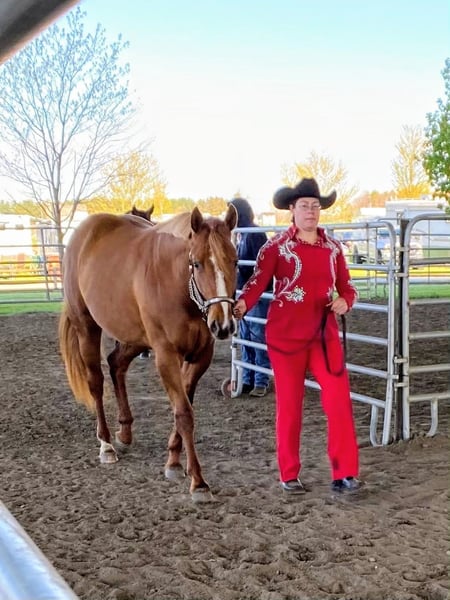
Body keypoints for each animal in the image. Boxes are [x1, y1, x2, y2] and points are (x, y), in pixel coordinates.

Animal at [58, 205, 238, 503]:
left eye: (234, 261)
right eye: (197, 263)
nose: (222, 324)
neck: (176, 284)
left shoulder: (200, 357)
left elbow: (184, 408)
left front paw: (174, 462)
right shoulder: (166, 355)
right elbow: (184, 413)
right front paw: (198, 482)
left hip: (135, 338)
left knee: (116, 364)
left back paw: (125, 430)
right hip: (87, 328)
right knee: (96, 382)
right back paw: (106, 445)